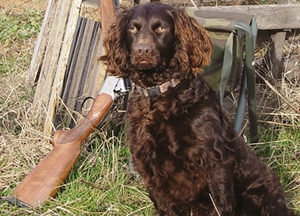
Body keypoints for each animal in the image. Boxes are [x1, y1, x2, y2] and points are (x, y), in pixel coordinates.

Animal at [99, 2, 294, 216]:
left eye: (161, 28)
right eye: (133, 29)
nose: (142, 51)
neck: (161, 96)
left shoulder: (214, 162)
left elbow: (221, 204)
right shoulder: (150, 169)